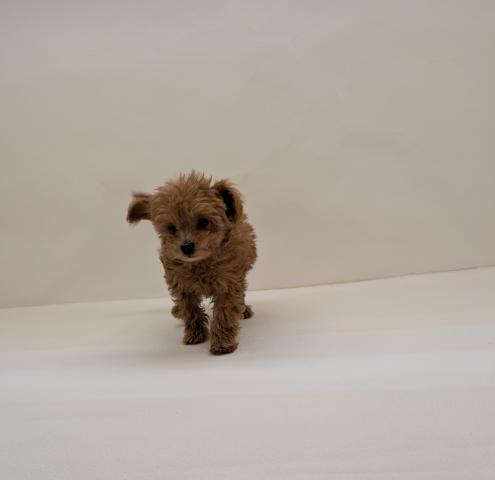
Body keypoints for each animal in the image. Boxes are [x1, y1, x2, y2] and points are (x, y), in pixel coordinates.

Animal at [127, 171, 257, 354]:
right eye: (171, 229)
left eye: (203, 222)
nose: (186, 246)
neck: (200, 262)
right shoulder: (181, 285)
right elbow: (190, 310)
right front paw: (196, 334)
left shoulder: (229, 283)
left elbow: (224, 312)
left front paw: (223, 343)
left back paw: (243, 310)